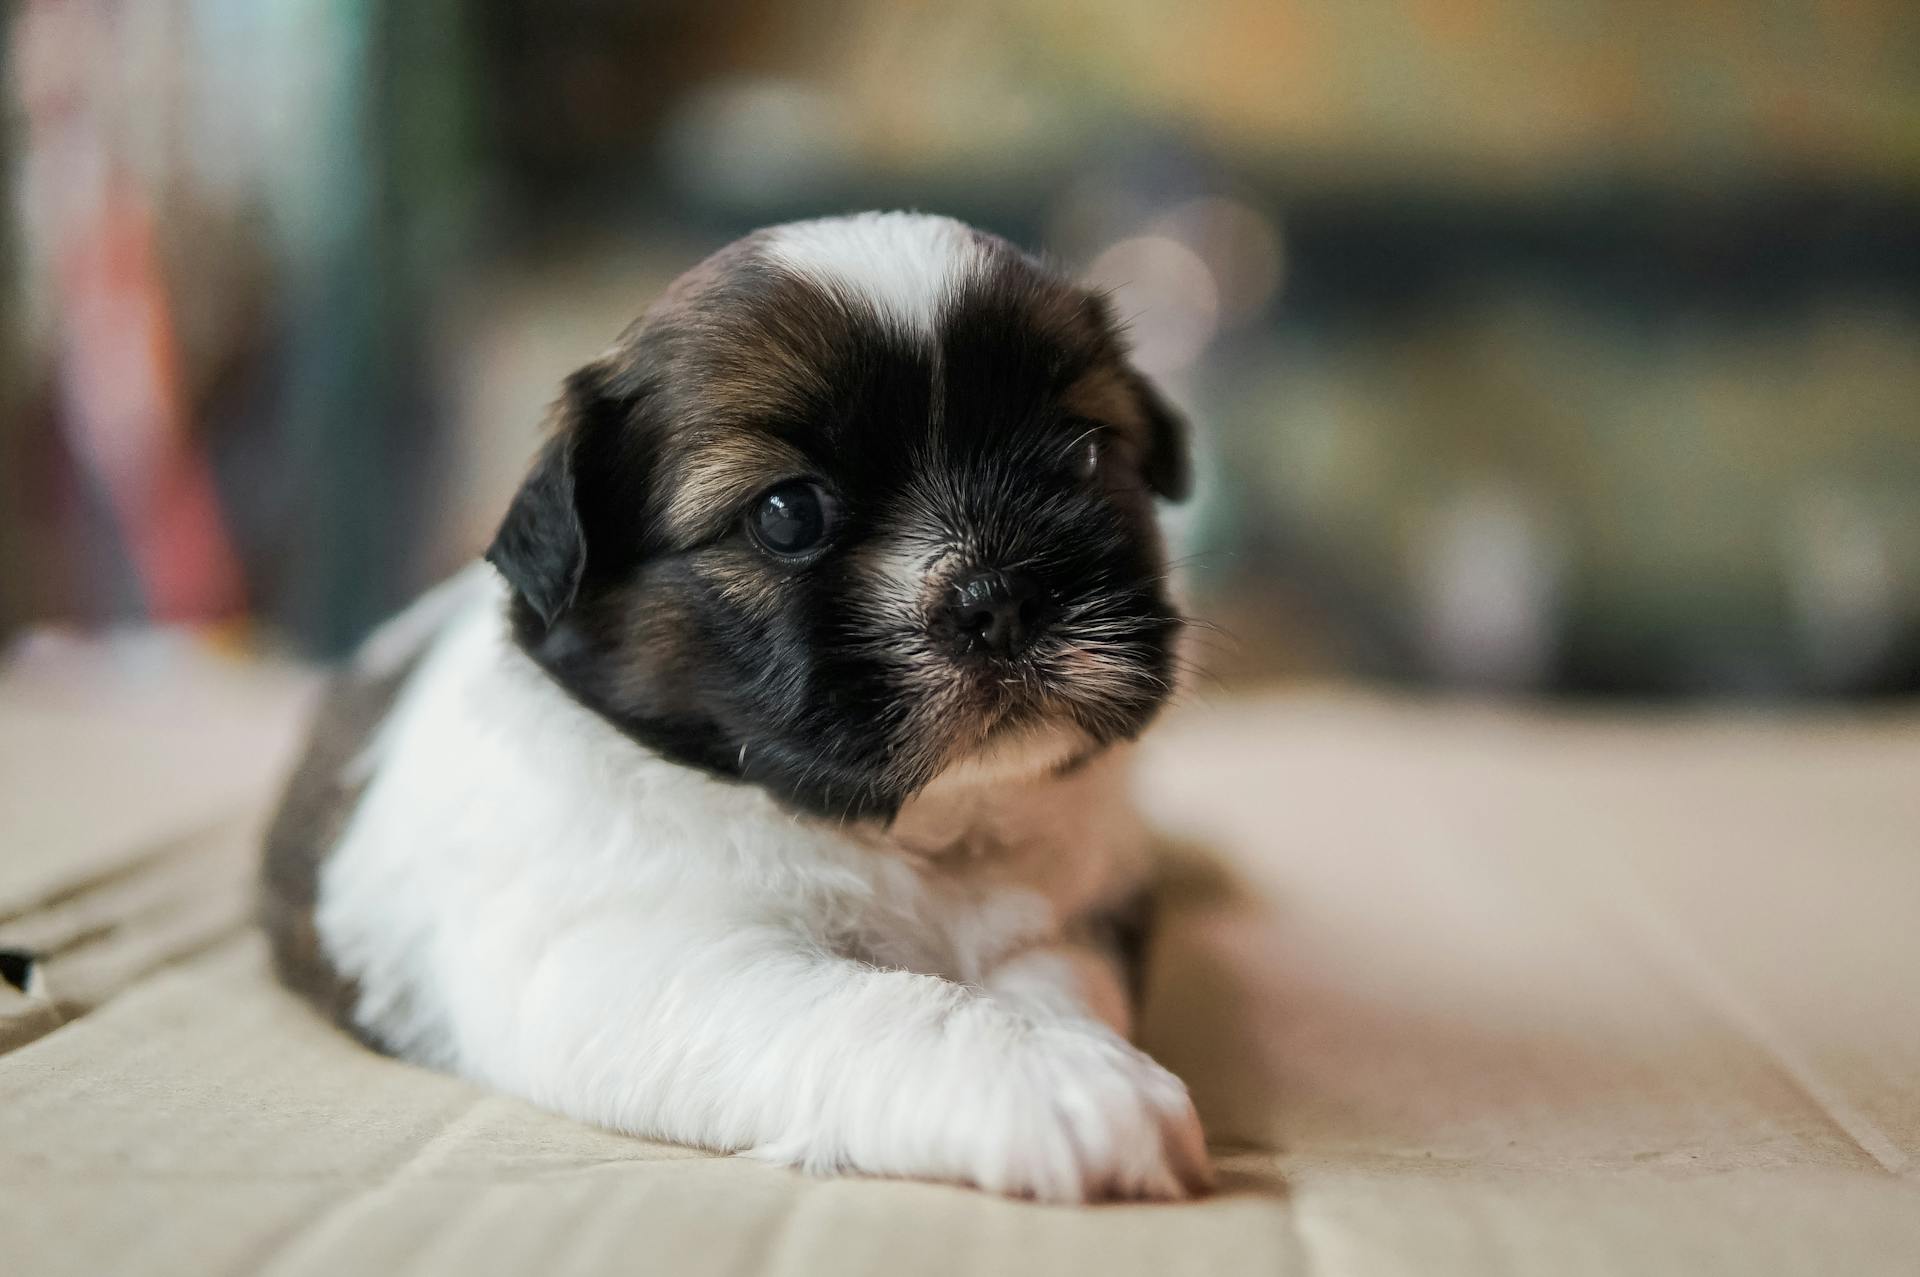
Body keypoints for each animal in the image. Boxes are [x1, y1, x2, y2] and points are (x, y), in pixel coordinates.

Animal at [261, 214, 1205, 1198]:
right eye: (788, 514)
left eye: (1084, 455)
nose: (1002, 595)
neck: (910, 829)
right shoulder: (636, 958)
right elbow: (868, 1001)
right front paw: (1052, 1078)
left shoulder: (1072, 922)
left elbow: (1048, 975)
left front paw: (1073, 1046)